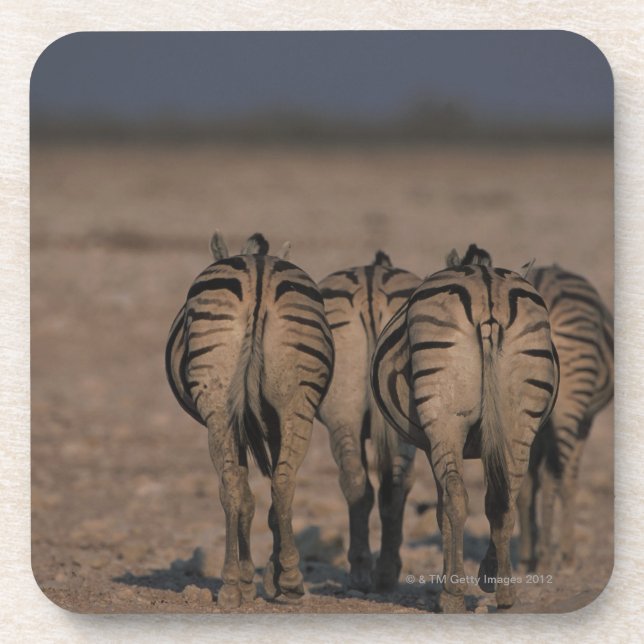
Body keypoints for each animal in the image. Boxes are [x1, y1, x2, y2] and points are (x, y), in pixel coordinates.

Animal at [165, 232, 334, 608]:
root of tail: (258, 272)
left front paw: (251, 578)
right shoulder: (256, 420)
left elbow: (248, 494)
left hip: (223, 406)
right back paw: (284, 578)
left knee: (240, 483)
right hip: (292, 403)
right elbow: (255, 494)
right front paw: (261, 576)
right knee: (279, 481)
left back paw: (241, 583)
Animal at [317, 251, 421, 592]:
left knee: (359, 481)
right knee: (390, 485)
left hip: (344, 417)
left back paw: (365, 572)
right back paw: (380, 573)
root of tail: (371, 288)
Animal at [370, 244, 559, 612]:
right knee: (505, 497)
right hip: (519, 420)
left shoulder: (431, 443)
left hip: (444, 419)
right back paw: (504, 592)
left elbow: (442, 510)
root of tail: (488, 294)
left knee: (458, 496)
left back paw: (452, 594)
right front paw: (488, 574)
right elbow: (492, 499)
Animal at [516, 265, 614, 571]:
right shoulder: (585, 423)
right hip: (573, 401)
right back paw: (549, 559)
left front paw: (530, 552)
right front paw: (568, 553)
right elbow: (570, 481)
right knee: (554, 478)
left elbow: (529, 482)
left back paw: (529, 558)